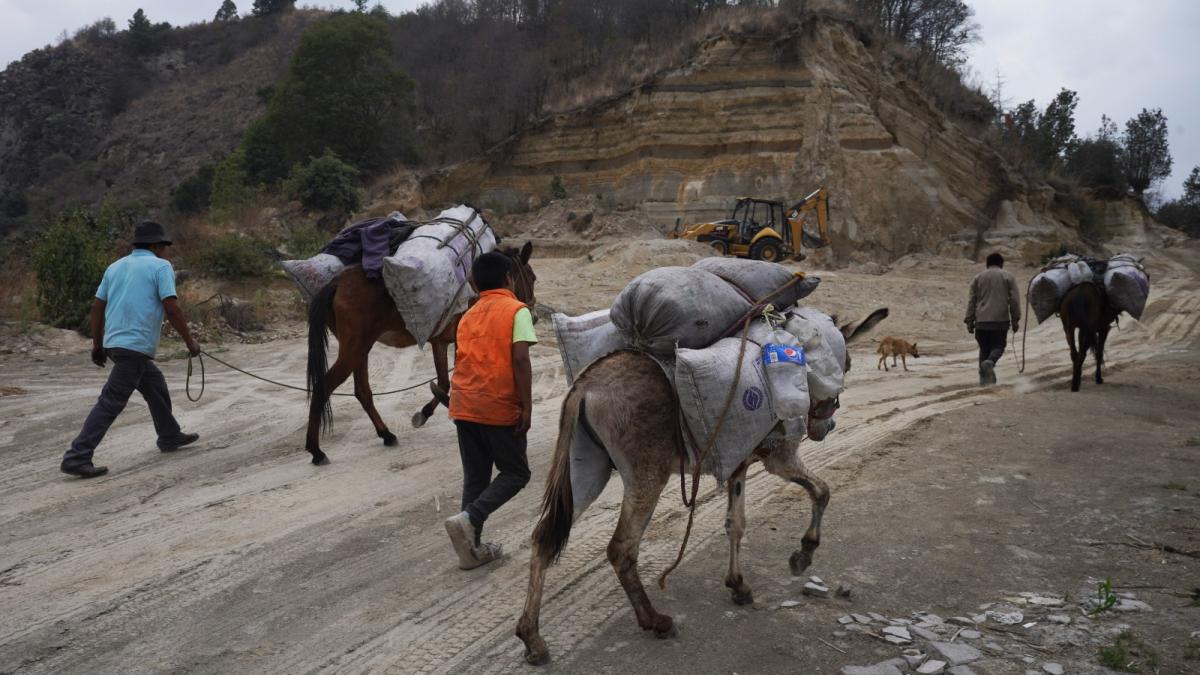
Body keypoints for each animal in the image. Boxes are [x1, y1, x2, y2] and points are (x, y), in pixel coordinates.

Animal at [304, 240, 535, 461]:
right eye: (532, 278)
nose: (533, 316)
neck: (478, 290)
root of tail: (336, 283)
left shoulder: (440, 342)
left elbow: (443, 382)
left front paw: (425, 413)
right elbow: (456, 383)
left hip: (359, 350)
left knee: (362, 391)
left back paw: (386, 434)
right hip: (353, 350)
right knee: (323, 388)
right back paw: (316, 451)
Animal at [516, 307, 892, 662]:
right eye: (847, 364)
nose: (826, 428)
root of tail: (587, 383)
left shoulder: (738, 463)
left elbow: (735, 523)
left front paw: (738, 586)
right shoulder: (779, 458)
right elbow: (822, 490)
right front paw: (803, 554)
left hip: (586, 470)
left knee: (543, 538)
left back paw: (532, 638)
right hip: (646, 476)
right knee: (621, 548)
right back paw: (655, 621)